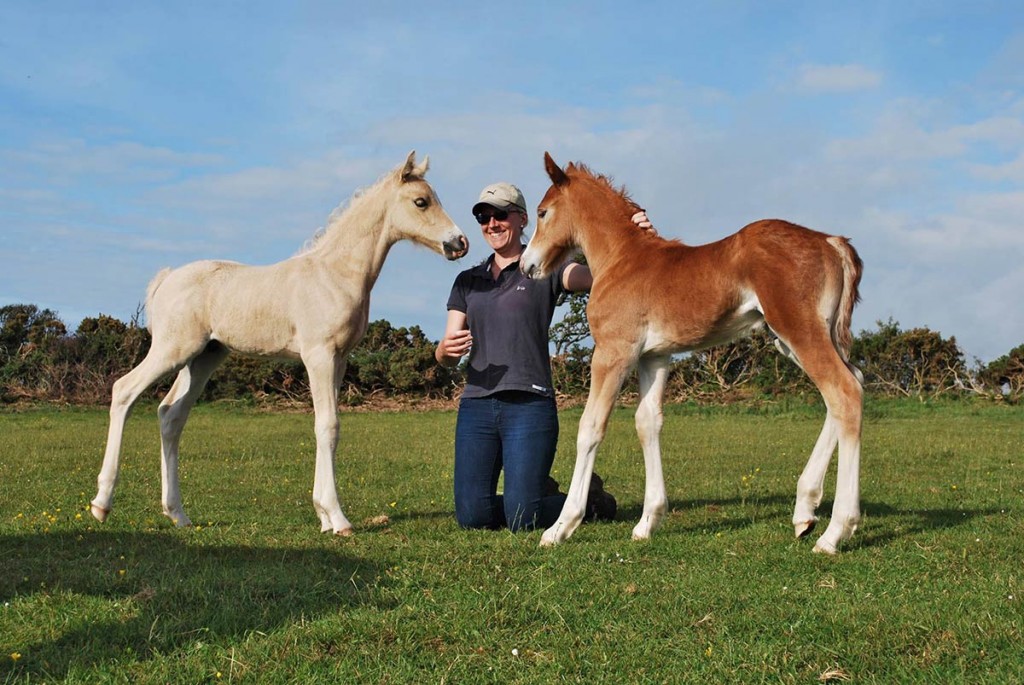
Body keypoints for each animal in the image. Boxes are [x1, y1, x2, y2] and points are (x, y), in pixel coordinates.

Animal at [92, 152, 468, 536]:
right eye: (421, 201)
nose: (459, 243)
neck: (334, 274)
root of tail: (167, 279)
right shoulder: (319, 355)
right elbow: (328, 426)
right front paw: (338, 518)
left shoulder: (339, 360)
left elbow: (327, 424)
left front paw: (323, 517)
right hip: (172, 350)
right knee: (124, 391)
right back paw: (101, 504)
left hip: (202, 358)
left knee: (171, 415)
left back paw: (177, 513)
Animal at [520, 152, 864, 552]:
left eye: (542, 212)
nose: (527, 266)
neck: (622, 259)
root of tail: (832, 242)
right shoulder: (654, 357)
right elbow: (647, 422)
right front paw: (647, 523)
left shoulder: (613, 352)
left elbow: (590, 427)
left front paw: (560, 527)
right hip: (801, 336)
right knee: (849, 386)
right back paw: (805, 511)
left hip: (798, 331)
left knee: (844, 392)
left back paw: (835, 531)